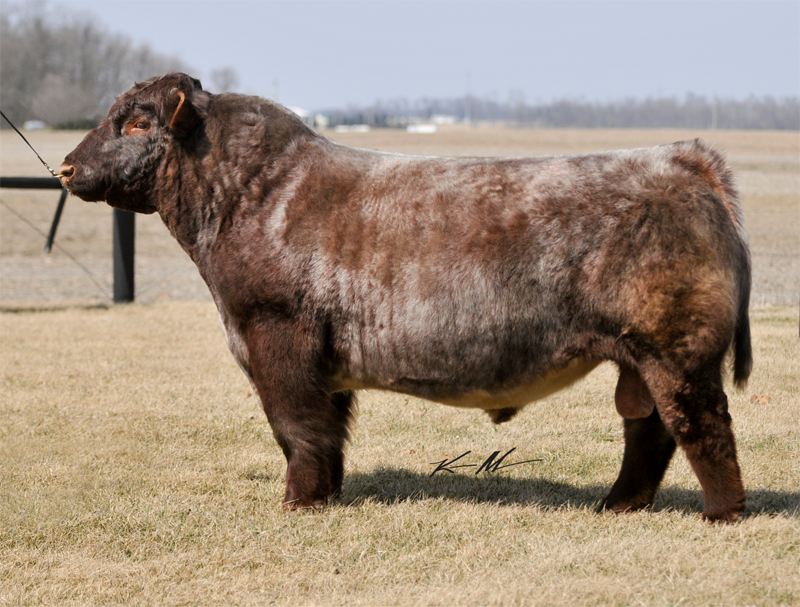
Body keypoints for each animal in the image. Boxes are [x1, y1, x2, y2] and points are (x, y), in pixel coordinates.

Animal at [59, 73, 752, 522]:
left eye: (138, 121)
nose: (65, 167)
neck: (246, 198)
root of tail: (681, 159)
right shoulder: (321, 364)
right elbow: (327, 432)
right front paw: (326, 495)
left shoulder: (276, 335)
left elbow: (296, 427)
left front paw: (298, 503)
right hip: (641, 358)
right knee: (650, 429)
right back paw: (617, 505)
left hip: (675, 349)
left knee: (701, 423)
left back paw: (722, 513)